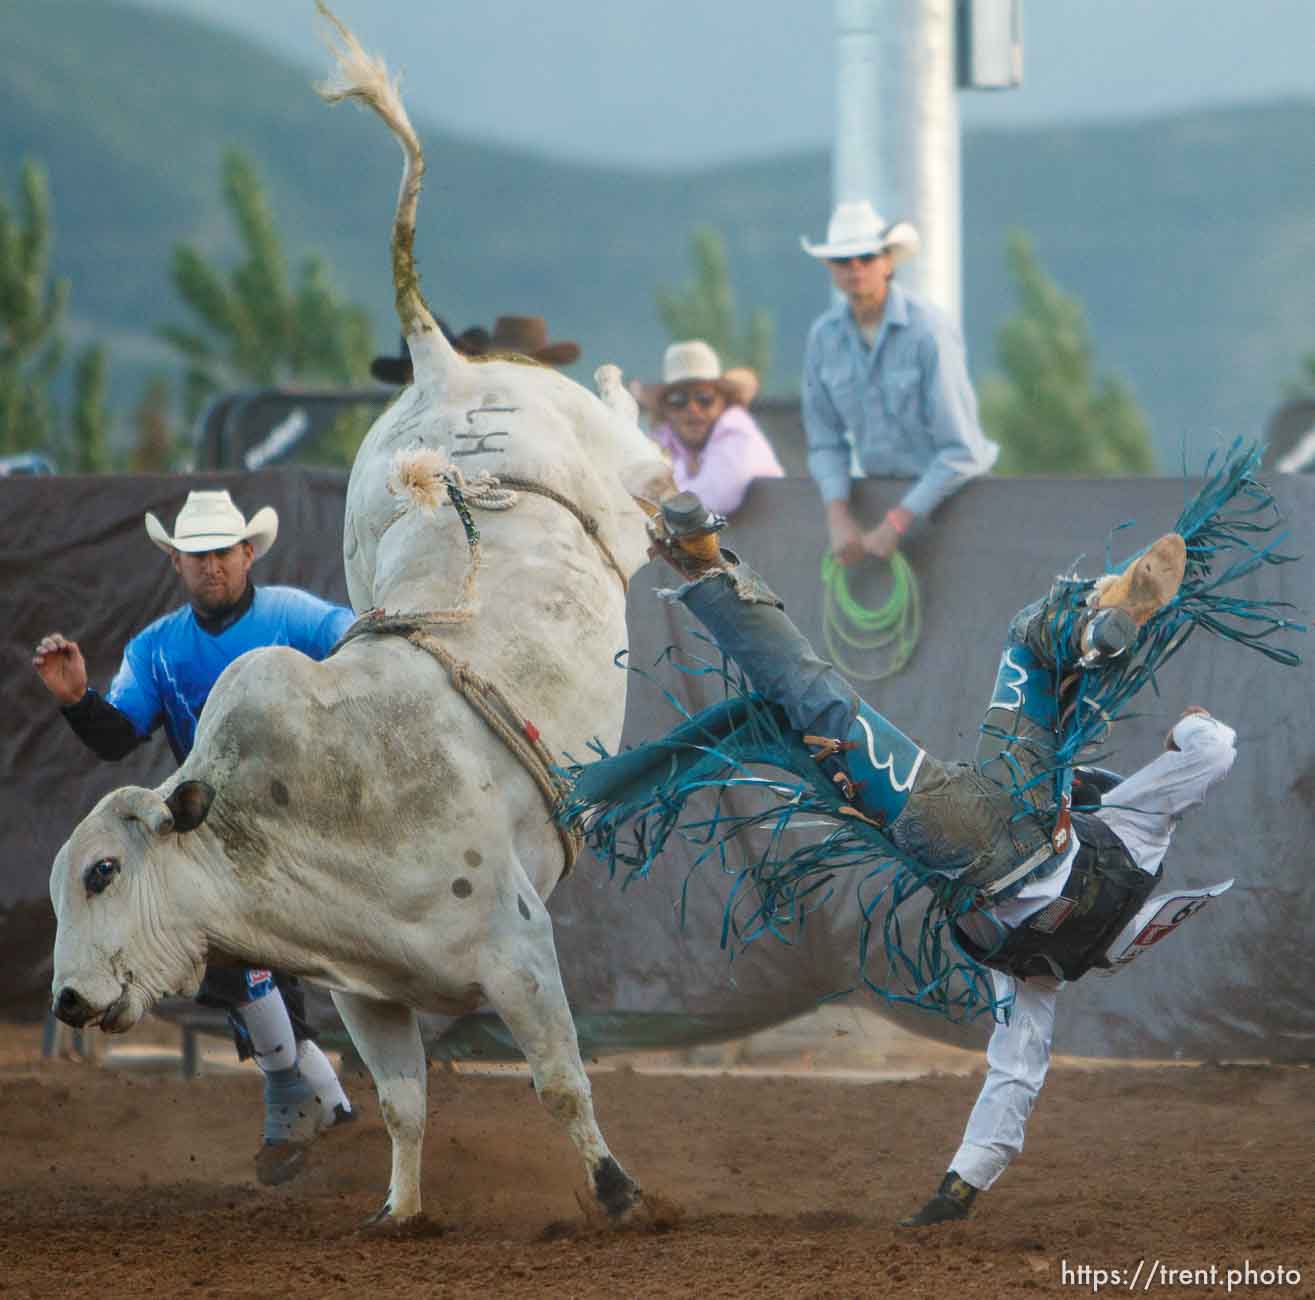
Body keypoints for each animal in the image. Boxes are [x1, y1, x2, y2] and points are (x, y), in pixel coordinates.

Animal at [48, 1, 674, 1230]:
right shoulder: (370, 992)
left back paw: (640, 409)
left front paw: (618, 1193)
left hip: (614, 481)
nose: (62, 1001)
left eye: (100, 875)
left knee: (637, 454)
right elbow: (402, 1100)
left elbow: (560, 1079)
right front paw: (400, 1210)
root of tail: (439, 364)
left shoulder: (517, 946)